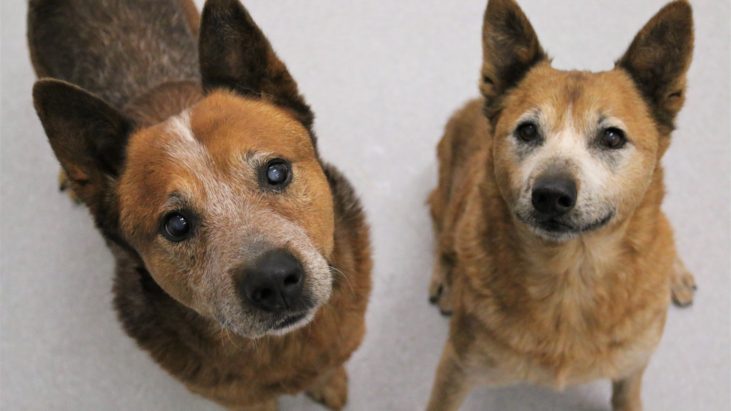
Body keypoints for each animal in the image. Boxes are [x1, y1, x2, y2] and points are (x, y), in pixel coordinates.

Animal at [428, 0, 696, 411]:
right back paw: (447, 275)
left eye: (612, 137)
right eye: (526, 131)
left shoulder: (631, 372)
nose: (551, 194)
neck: (570, 276)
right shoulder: (457, 367)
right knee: (444, 232)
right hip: (446, 196)